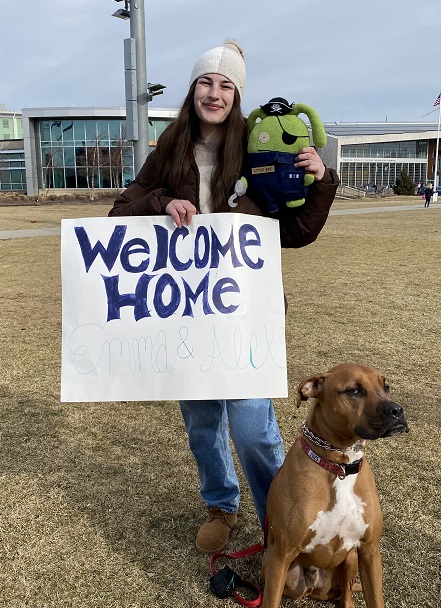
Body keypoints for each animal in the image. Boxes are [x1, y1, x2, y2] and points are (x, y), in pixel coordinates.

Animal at [260, 364, 408, 608]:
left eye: (386, 386)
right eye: (354, 391)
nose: (397, 410)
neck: (340, 467)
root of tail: (314, 589)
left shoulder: (369, 551)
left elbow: (376, 598)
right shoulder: (280, 553)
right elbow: (270, 600)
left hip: (351, 559)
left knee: (346, 593)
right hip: (275, 566)